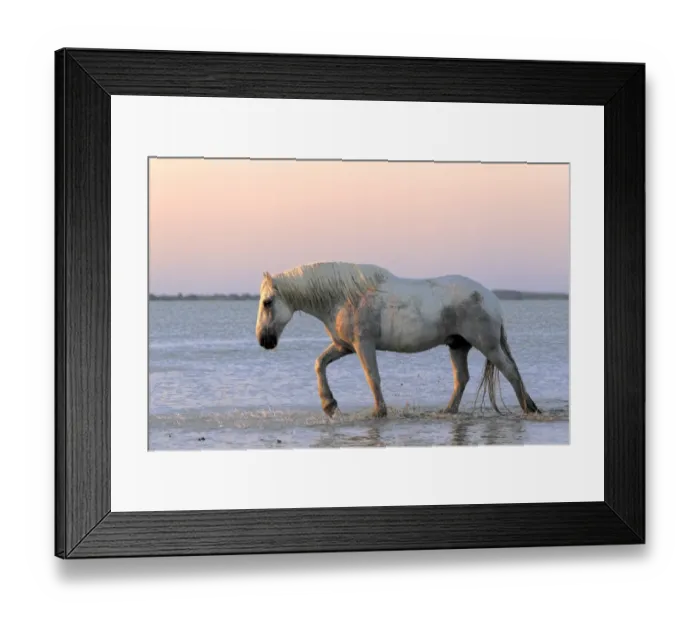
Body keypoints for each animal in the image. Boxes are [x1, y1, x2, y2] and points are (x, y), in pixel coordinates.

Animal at [255, 261, 541, 418]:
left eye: (267, 302)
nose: (263, 340)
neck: (344, 297)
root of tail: (491, 299)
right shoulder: (344, 347)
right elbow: (320, 363)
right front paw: (330, 405)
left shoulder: (363, 345)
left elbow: (372, 376)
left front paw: (379, 412)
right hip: (458, 345)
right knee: (462, 379)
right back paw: (448, 411)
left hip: (487, 345)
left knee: (510, 371)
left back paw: (529, 408)